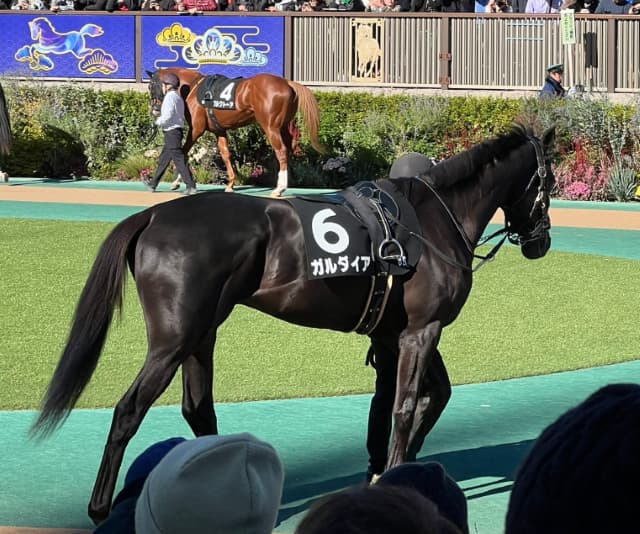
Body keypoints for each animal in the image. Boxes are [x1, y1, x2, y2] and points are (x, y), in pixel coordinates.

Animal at [32, 124, 555, 524]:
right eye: (547, 182)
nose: (541, 243)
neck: (432, 222)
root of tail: (153, 216)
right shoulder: (421, 331)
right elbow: (406, 406)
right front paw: (396, 472)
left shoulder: (394, 334)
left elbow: (425, 397)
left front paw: (387, 470)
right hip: (173, 339)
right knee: (128, 410)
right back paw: (100, 508)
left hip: (202, 332)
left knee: (198, 409)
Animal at [147, 68, 325, 197]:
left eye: (150, 86)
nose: (154, 109)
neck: (193, 87)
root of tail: (288, 83)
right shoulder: (219, 130)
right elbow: (226, 154)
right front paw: (231, 184)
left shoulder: (196, 129)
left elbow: (182, 152)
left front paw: (177, 181)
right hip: (284, 126)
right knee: (288, 150)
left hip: (271, 127)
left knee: (281, 151)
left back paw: (279, 188)